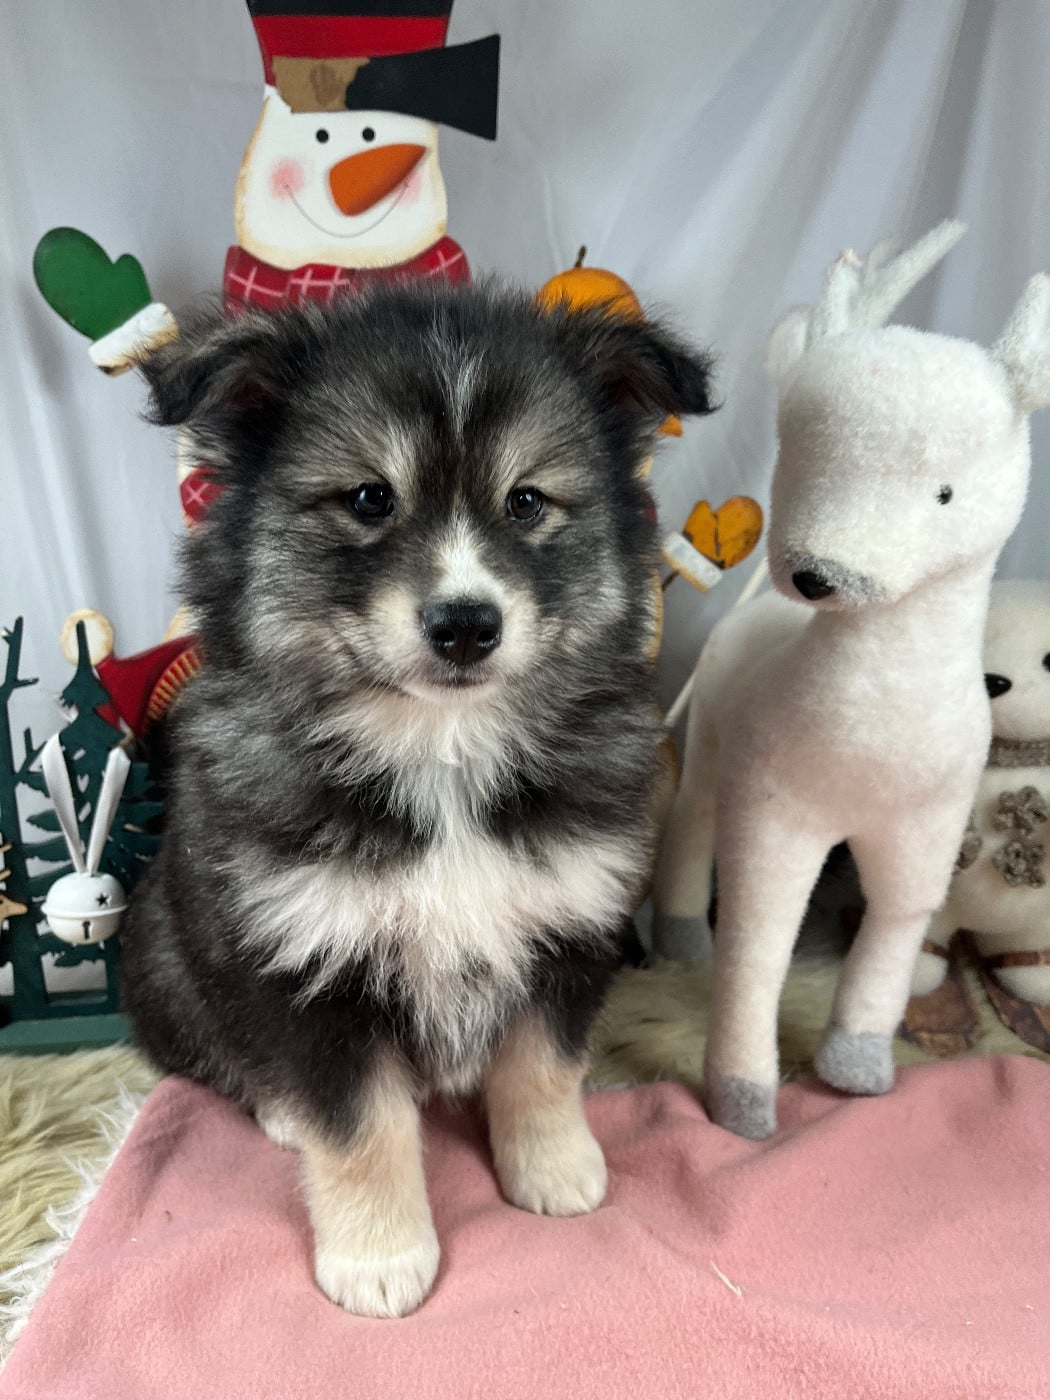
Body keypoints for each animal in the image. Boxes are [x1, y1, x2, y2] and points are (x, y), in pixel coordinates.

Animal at [120, 280, 715, 1317]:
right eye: (369, 497)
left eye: (527, 501)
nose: (467, 624)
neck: (443, 757)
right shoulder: (306, 960)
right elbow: (359, 1124)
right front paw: (378, 1256)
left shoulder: (571, 921)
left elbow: (544, 1068)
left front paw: (554, 1170)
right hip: (169, 954)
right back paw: (279, 1113)